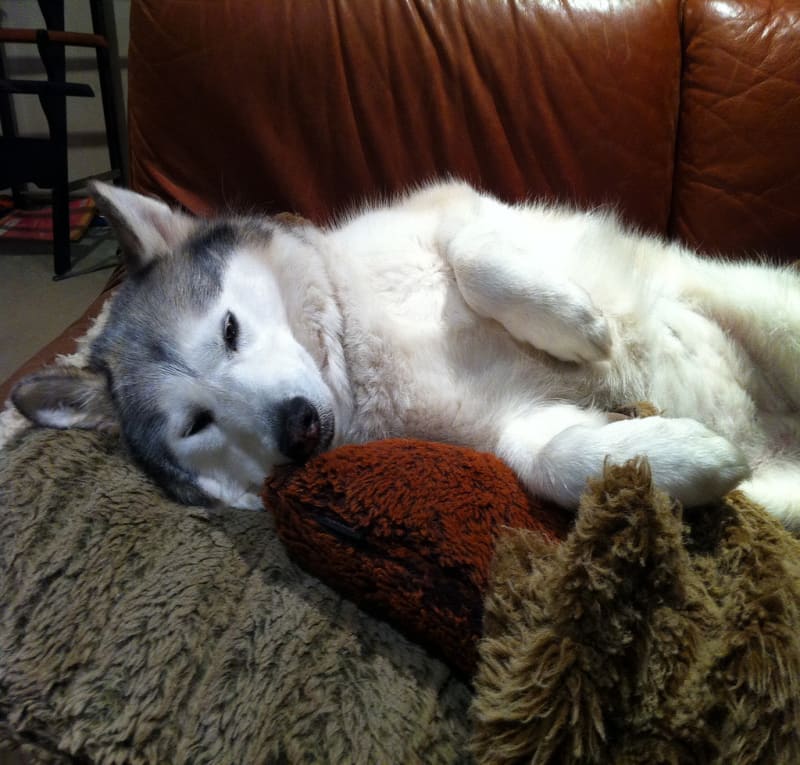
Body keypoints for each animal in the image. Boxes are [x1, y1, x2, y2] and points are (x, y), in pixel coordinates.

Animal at [11, 180, 800, 527]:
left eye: (230, 329)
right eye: (195, 424)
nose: (298, 427)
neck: (357, 350)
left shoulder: (457, 207)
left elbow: (476, 256)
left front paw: (575, 324)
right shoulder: (510, 424)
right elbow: (551, 459)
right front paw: (680, 459)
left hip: (762, 305)